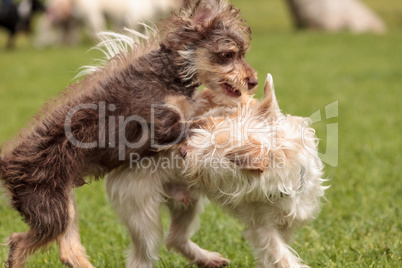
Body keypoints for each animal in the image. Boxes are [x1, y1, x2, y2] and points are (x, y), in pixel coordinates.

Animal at [104, 74, 326, 266]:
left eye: (209, 154)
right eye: (209, 126)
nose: (182, 150)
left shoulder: (286, 223)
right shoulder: (263, 228)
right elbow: (282, 257)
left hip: (187, 204)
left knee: (175, 238)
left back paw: (207, 259)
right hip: (143, 215)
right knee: (142, 256)